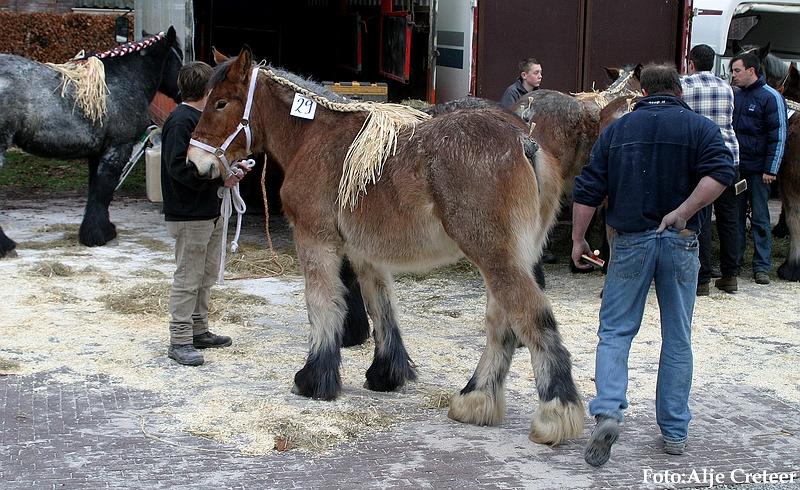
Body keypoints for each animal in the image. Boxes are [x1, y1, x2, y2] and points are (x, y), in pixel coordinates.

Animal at [0, 25, 183, 256]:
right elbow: (104, 189)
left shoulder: (97, 152)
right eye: (180, 57)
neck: (126, 77)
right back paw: (6, 246)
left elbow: (95, 190)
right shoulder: (118, 148)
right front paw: (100, 235)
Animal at [191, 47, 584, 446]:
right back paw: (476, 400)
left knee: (531, 317)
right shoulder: (366, 255)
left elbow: (322, 304)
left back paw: (555, 412)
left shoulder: (315, 239)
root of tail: (525, 141)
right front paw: (386, 374)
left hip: (495, 257)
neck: (314, 135)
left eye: (220, 103)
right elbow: (382, 308)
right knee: (501, 325)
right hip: (508, 258)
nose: (196, 161)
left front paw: (314, 378)